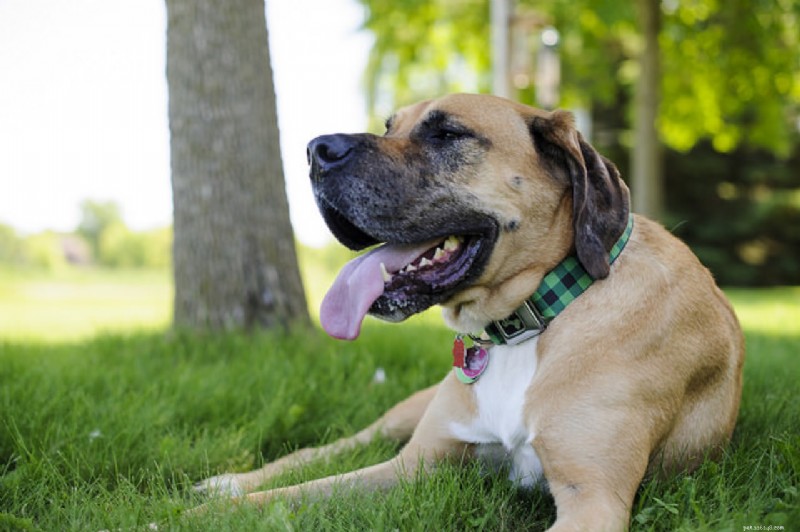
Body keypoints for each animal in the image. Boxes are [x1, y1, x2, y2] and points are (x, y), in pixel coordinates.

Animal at [197, 93, 748, 528]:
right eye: (389, 128)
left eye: (447, 134)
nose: (316, 150)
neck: (528, 323)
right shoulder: (414, 465)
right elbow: (296, 493)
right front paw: (203, 510)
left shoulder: (593, 499)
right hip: (408, 411)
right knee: (334, 447)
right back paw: (229, 480)